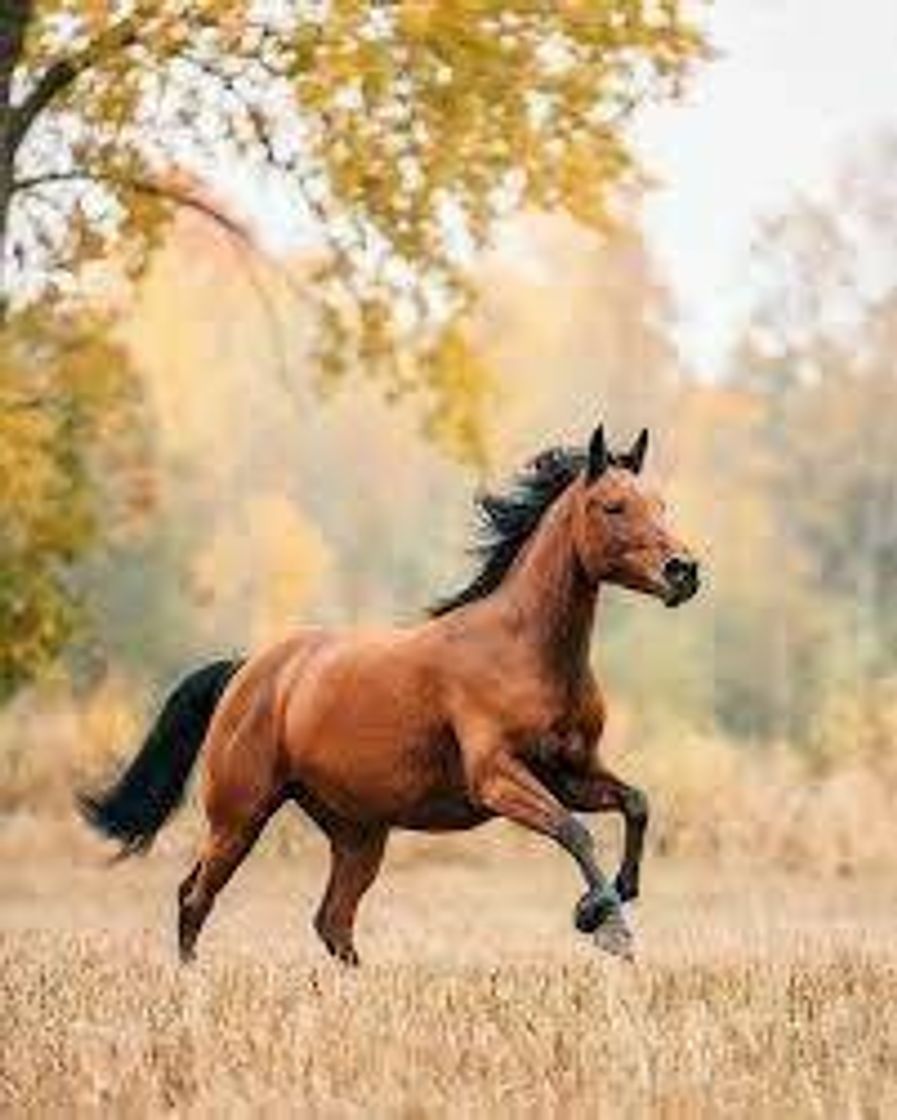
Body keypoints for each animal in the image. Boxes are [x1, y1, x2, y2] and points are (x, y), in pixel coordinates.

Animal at [79, 425, 700, 963]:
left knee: (332, 921)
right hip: (239, 817)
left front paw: (613, 896)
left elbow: (636, 803)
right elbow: (575, 830)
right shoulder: (497, 777)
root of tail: (248, 670)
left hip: (358, 834)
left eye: (662, 505)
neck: (524, 650)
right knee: (195, 897)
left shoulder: (569, 772)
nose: (684, 571)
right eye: (613, 506)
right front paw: (607, 924)